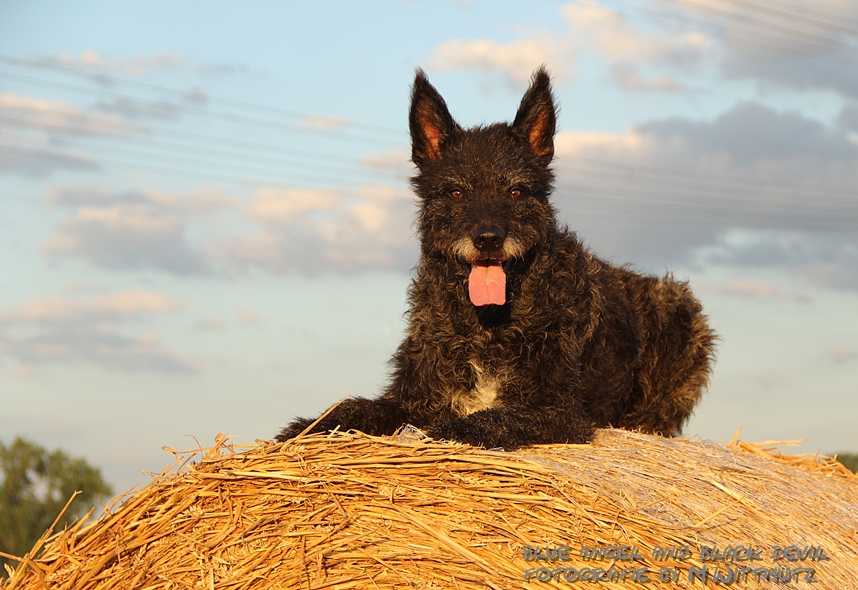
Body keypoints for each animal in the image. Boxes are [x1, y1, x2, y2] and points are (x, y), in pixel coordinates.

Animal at [276, 67, 716, 450]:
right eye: (455, 192)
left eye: (517, 191)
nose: (488, 239)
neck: (486, 324)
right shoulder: (412, 399)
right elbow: (353, 408)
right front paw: (302, 428)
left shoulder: (560, 413)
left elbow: (495, 417)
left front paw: (451, 432)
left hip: (680, 309)